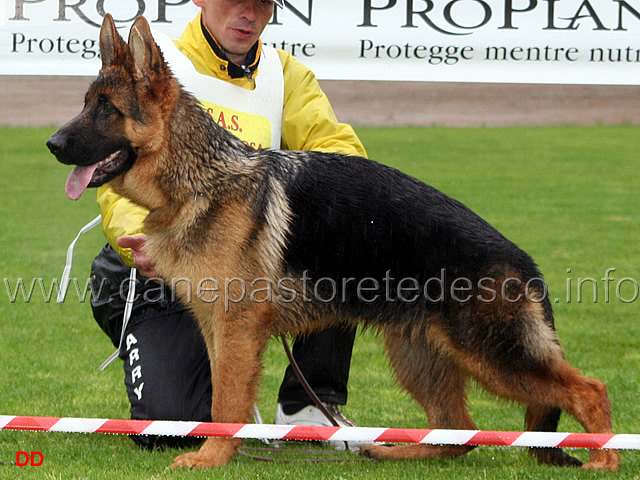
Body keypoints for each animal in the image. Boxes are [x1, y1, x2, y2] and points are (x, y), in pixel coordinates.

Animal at [47, 15, 616, 472]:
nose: (51, 144)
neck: (201, 180)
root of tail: (522, 259)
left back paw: (605, 459)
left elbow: (226, 403)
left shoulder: (236, 329)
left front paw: (211, 458)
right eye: (85, 105)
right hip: (419, 355)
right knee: (458, 431)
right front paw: (218, 450)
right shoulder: (218, 329)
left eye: (107, 110)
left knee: (589, 389)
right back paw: (397, 450)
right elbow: (218, 402)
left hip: (491, 354)